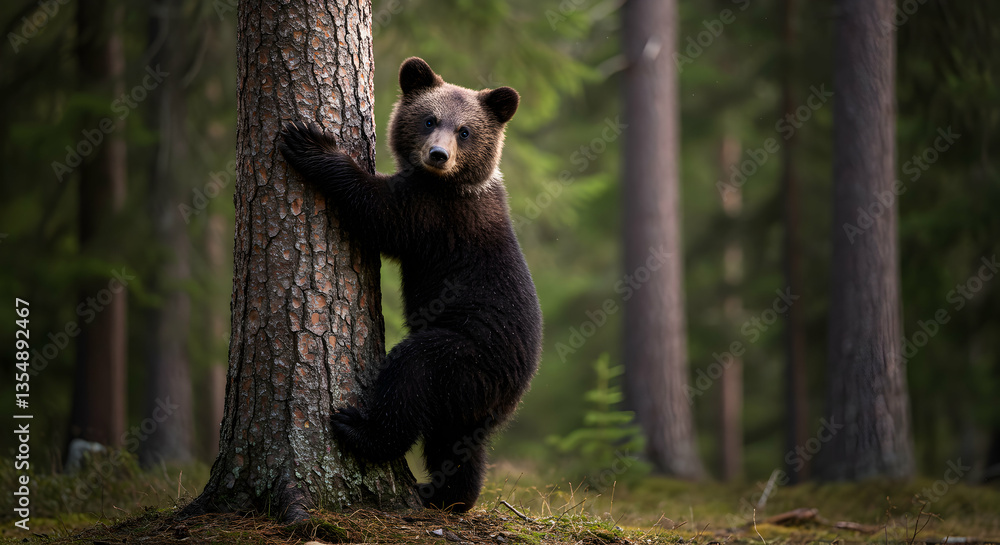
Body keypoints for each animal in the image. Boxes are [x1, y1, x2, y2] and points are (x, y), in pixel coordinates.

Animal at [278, 57, 542, 512]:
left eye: (465, 130)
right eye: (429, 119)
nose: (438, 154)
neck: (451, 182)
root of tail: (516, 386)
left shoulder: (433, 215)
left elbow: (377, 211)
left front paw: (310, 143)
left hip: (467, 356)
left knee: (412, 372)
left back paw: (357, 429)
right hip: (471, 399)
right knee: (456, 446)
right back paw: (444, 494)